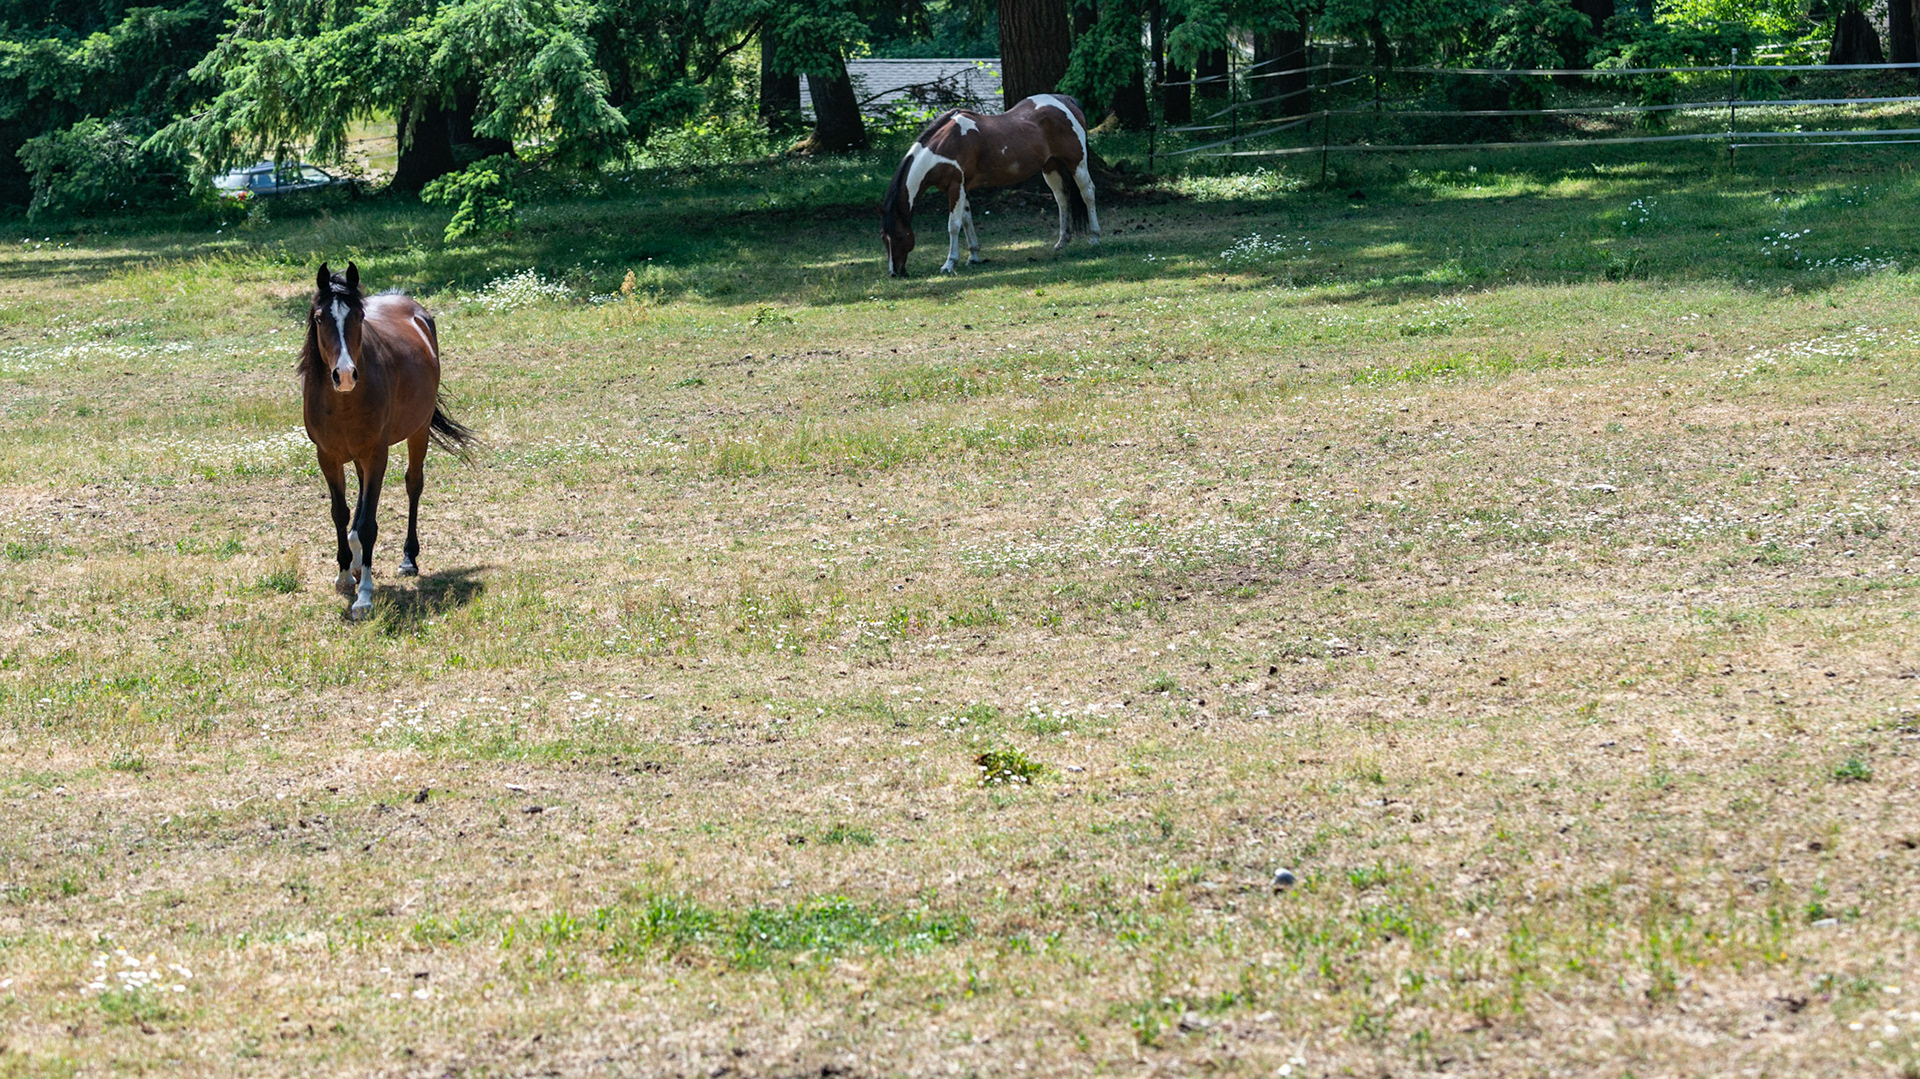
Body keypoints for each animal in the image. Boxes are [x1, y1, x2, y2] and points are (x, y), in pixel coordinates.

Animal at [300, 261, 474, 620]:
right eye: (320, 318)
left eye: (358, 316)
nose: (345, 374)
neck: (343, 400)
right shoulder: (328, 457)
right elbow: (340, 513)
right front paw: (344, 575)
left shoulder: (376, 454)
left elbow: (369, 523)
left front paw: (364, 595)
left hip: (418, 431)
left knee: (413, 484)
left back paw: (408, 559)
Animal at [880, 93, 1101, 277]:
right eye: (883, 238)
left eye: (899, 236)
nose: (894, 272)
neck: (945, 146)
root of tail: (1066, 101)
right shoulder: (961, 189)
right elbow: (966, 219)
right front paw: (973, 256)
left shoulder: (955, 187)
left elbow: (954, 225)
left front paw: (949, 263)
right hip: (1050, 166)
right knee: (1061, 199)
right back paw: (1062, 242)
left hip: (1077, 162)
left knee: (1088, 193)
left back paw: (1095, 238)